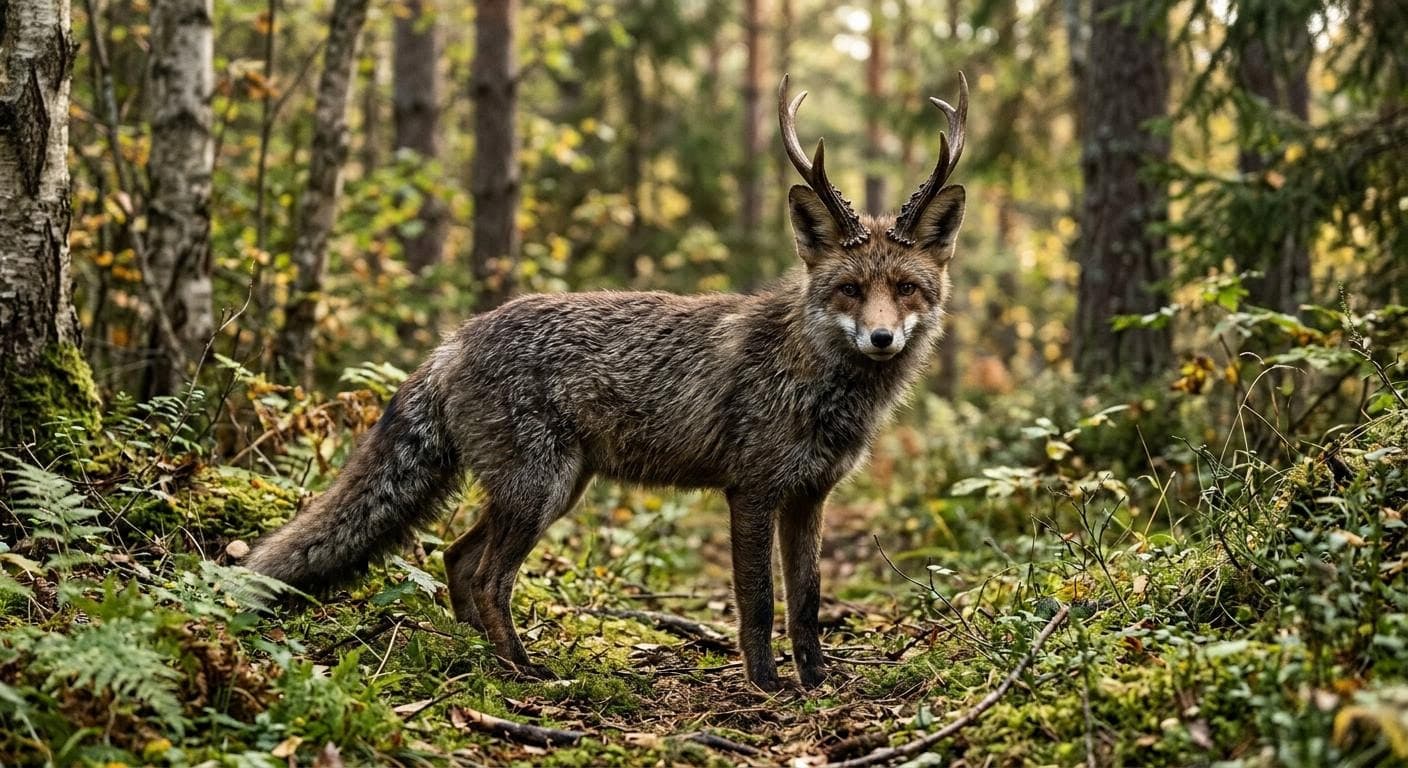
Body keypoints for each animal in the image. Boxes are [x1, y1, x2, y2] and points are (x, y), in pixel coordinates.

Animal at [245, 74, 970, 691]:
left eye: (905, 289)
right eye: (849, 290)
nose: (881, 339)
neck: (816, 383)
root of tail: (457, 337)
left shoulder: (809, 498)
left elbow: (809, 602)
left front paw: (816, 682)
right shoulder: (751, 493)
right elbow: (761, 604)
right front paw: (766, 685)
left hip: (551, 494)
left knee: (455, 560)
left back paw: (480, 657)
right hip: (537, 492)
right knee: (487, 578)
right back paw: (523, 670)